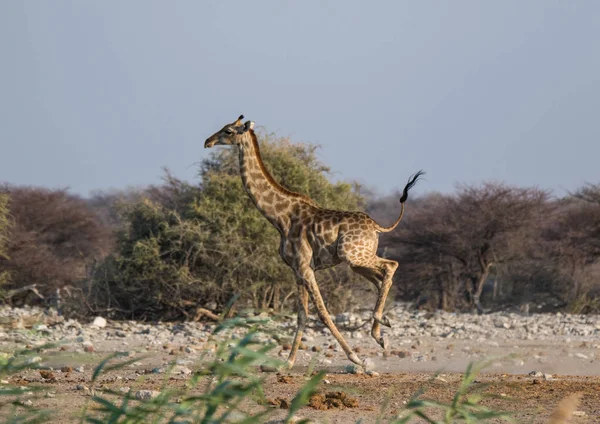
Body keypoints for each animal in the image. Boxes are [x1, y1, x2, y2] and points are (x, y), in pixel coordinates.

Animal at [204, 115, 424, 368]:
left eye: (228, 131)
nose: (208, 141)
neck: (280, 217)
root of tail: (377, 226)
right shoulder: (296, 269)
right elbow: (302, 315)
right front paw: (287, 363)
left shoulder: (305, 266)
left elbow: (322, 312)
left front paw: (356, 358)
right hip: (358, 262)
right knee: (381, 278)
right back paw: (380, 332)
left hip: (352, 255)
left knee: (391, 266)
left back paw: (379, 325)